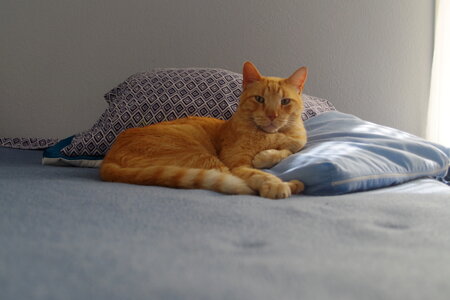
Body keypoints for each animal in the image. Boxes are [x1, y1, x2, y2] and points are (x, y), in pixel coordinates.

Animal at [100, 61, 308, 198]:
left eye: (285, 101)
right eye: (259, 99)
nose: (272, 115)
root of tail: (107, 160)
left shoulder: (294, 140)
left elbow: (289, 148)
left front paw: (267, 156)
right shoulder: (236, 163)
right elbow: (258, 172)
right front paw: (275, 184)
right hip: (204, 158)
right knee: (233, 179)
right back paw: (290, 184)